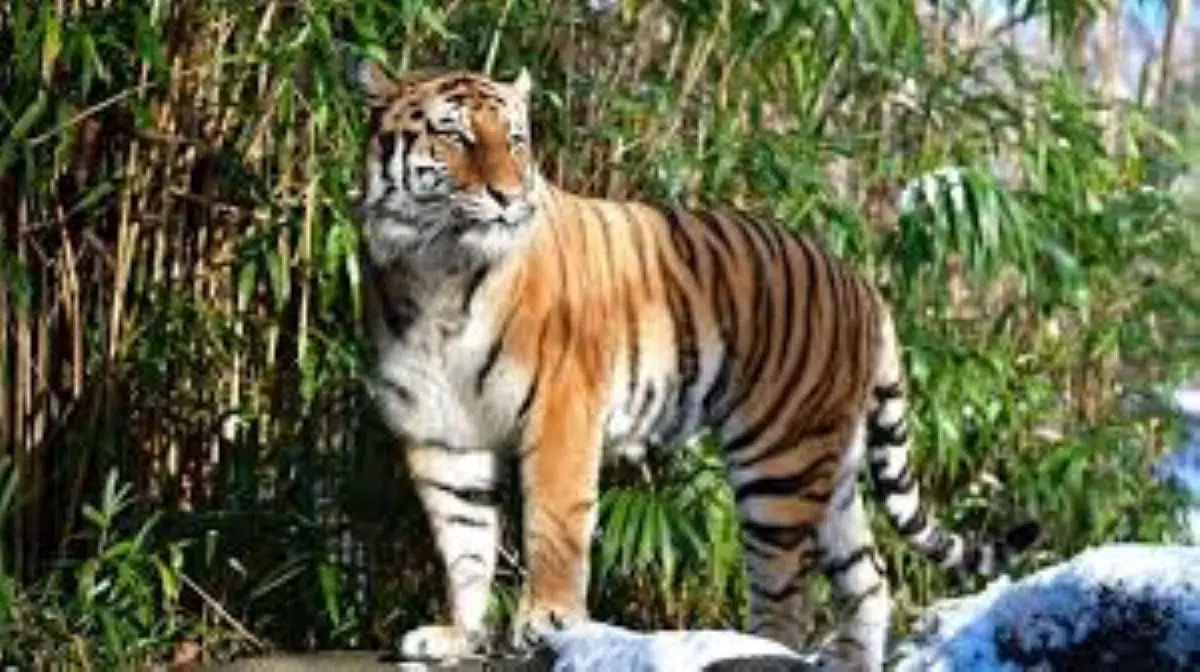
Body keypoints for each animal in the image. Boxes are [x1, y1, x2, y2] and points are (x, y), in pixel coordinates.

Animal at [349, 59, 1038, 670]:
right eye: (456, 136)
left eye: (515, 140)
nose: (510, 196)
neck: (437, 269)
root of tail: (862, 282)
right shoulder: (442, 432)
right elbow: (463, 540)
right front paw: (458, 635)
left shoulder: (561, 411)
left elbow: (554, 523)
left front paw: (547, 620)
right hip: (832, 462)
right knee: (867, 576)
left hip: (779, 460)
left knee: (787, 592)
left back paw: (756, 650)